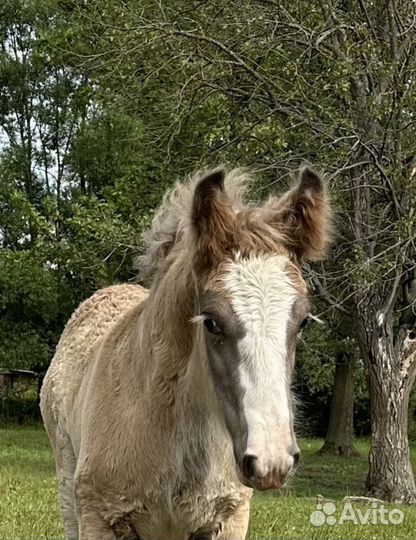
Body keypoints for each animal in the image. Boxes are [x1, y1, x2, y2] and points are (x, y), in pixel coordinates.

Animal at [41, 167, 332, 536]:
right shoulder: (98, 516)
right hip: (68, 483)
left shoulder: (230, 518)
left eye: (304, 320)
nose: (271, 461)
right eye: (211, 322)